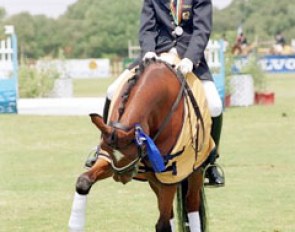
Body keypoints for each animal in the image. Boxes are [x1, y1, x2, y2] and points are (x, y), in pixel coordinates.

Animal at [68, 57, 214, 231]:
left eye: (135, 151)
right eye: (104, 148)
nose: (121, 177)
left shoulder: (170, 174)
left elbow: (163, 224)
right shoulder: (108, 160)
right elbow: (83, 181)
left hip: (194, 171)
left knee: (191, 204)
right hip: (154, 180)